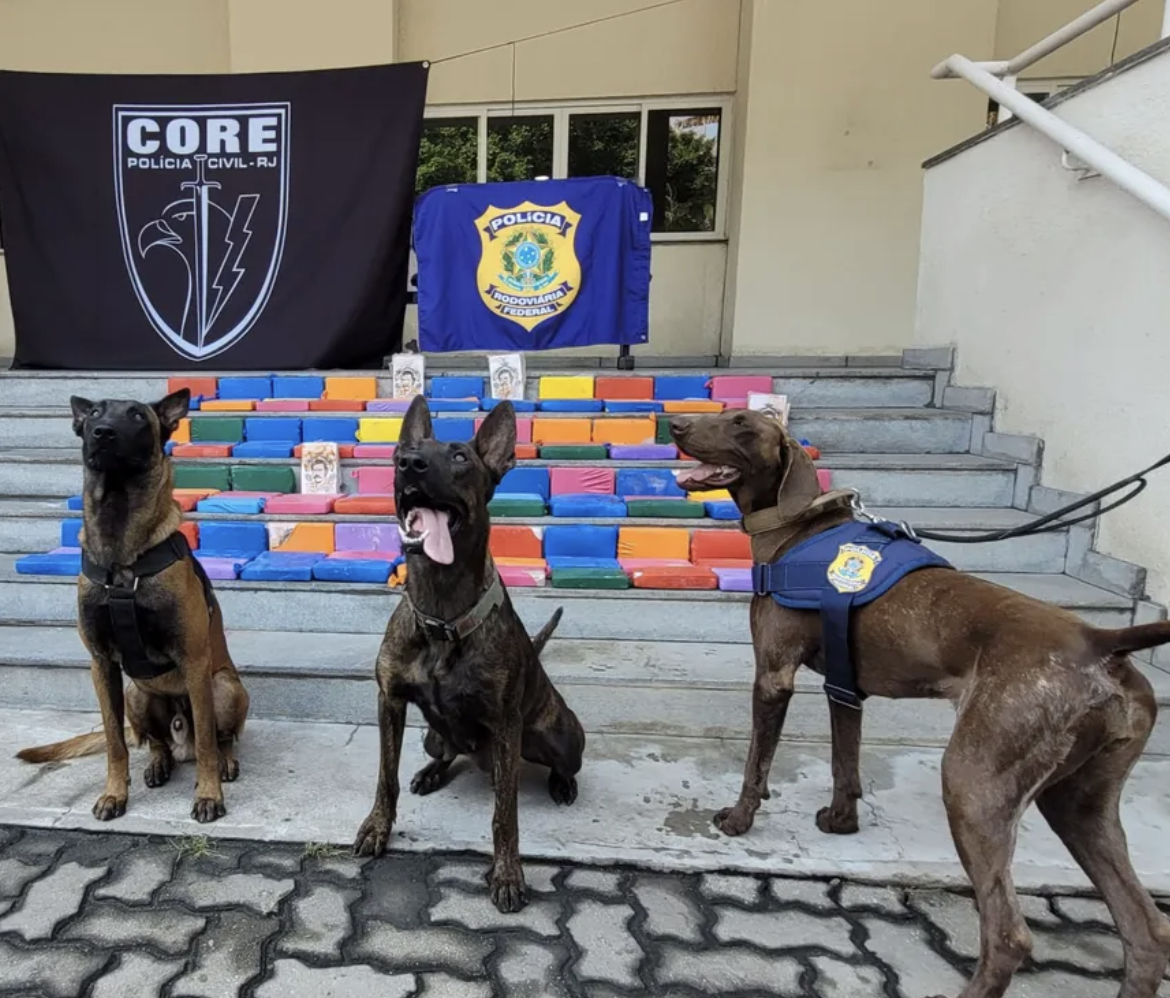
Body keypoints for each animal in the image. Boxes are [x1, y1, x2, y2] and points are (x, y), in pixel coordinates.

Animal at [17, 389, 249, 824]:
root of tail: (179, 739)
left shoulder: (194, 661)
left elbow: (208, 744)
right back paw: (158, 763)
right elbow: (114, 742)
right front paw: (114, 794)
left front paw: (208, 796)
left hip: (224, 686)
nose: (103, 432)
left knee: (218, 738)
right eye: (94, 413)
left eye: (138, 416)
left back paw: (224, 762)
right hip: (136, 694)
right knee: (155, 742)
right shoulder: (101, 664)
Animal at [353, 396, 585, 913]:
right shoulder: (389, 701)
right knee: (446, 751)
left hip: (560, 734)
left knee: (558, 763)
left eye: (460, 457)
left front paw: (507, 874)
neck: (441, 615)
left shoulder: (505, 725)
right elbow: (383, 777)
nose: (409, 464)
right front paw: (377, 828)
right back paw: (431, 772)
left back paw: (562, 783)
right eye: (405, 452)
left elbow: (506, 814)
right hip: (432, 736)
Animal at [670, 409, 1170, 998]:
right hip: (1079, 800)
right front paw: (841, 821)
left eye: (742, 424)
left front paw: (739, 819)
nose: (676, 426)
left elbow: (757, 763)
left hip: (975, 784)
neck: (799, 527)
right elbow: (845, 762)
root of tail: (1101, 642)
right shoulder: (845, 687)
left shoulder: (773, 676)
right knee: (1146, 929)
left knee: (1008, 935)